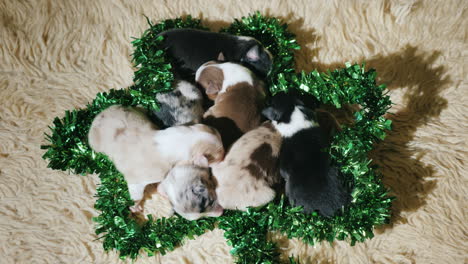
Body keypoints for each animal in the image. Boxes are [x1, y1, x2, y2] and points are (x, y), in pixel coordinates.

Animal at [89, 104, 225, 213]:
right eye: (216, 156)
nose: (224, 156)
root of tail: (97, 117)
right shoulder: (140, 178)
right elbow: (136, 191)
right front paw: (135, 206)